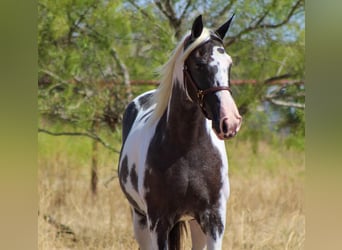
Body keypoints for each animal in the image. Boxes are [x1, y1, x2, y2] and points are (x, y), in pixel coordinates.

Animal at [119, 14, 242, 249]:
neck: (187, 149)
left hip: (195, 224)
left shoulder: (214, 220)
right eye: (199, 64)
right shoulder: (159, 222)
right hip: (140, 219)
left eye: (229, 64)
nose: (230, 121)